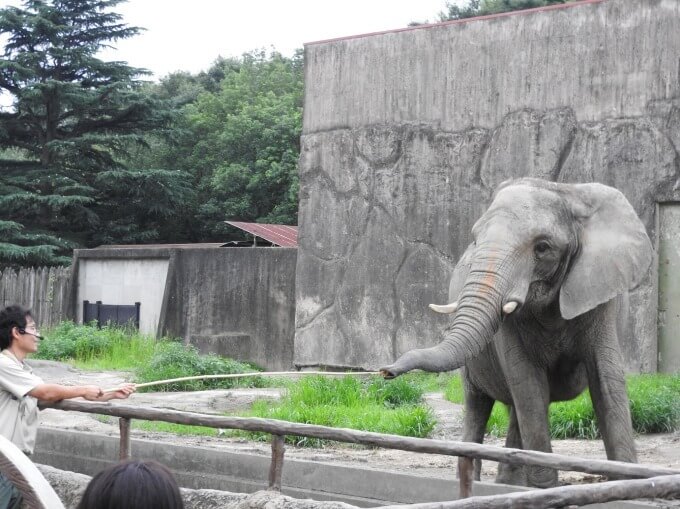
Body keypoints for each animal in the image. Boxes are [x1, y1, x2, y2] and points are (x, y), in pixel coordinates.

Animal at [380, 177, 652, 486]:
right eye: (475, 240)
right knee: (479, 405)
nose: (386, 371)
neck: (566, 193)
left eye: (542, 248)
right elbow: (528, 384)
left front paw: (628, 483)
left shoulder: (600, 296)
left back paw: (507, 483)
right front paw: (544, 488)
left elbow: (607, 381)